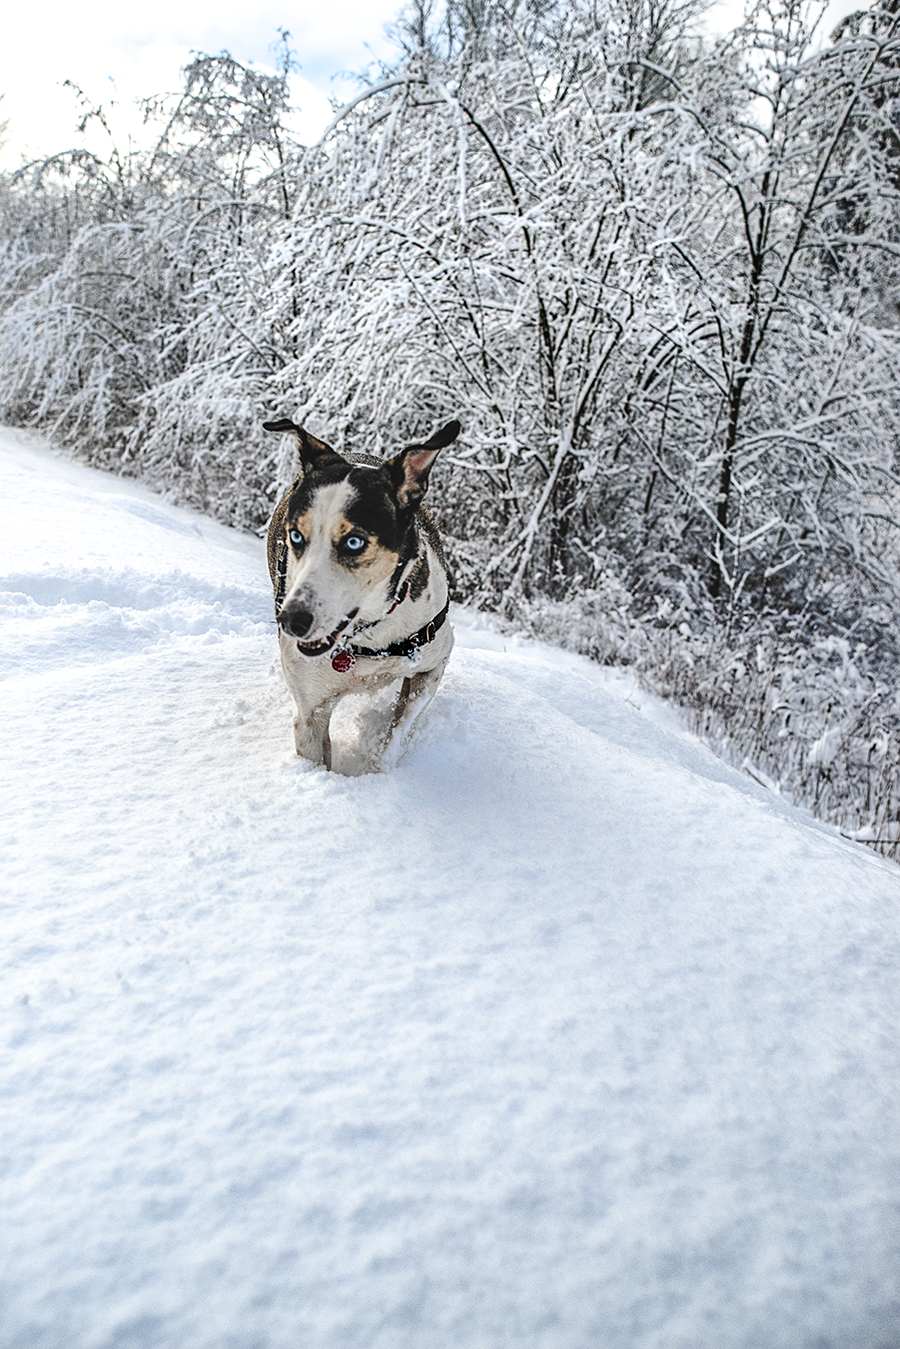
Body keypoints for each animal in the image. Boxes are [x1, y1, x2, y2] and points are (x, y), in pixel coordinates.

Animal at [261, 415, 461, 777]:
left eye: (354, 542)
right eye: (295, 536)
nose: (292, 620)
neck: (370, 634)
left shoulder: (433, 662)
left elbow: (400, 725)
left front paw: (377, 773)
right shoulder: (310, 710)